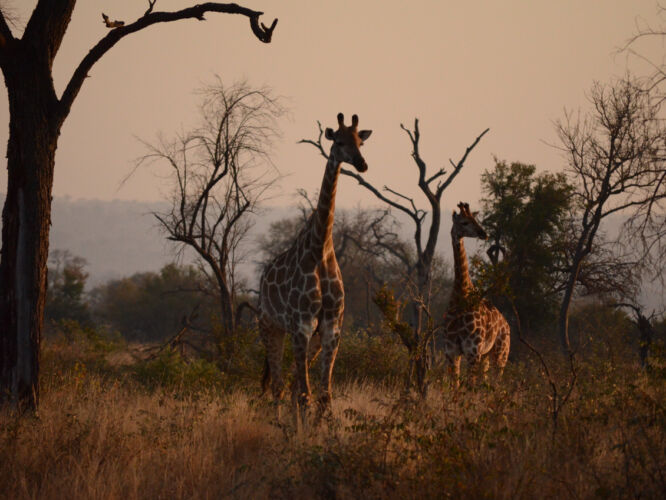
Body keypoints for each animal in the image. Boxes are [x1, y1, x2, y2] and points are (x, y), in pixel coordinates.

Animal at [259, 112, 372, 420]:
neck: (320, 249)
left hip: (311, 339)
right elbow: (305, 396)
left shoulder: (331, 328)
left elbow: (324, 397)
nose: (362, 164)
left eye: (360, 142)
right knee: (277, 386)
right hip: (270, 327)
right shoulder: (301, 324)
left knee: (289, 385)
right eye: (340, 141)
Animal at [442, 202, 510, 387]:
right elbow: (455, 387)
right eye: (464, 222)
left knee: (497, 385)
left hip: (500, 354)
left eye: (475, 219)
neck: (461, 294)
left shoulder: (472, 351)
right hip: (485, 356)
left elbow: (469, 387)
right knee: (485, 382)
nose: (483, 233)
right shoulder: (452, 352)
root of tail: (506, 324)